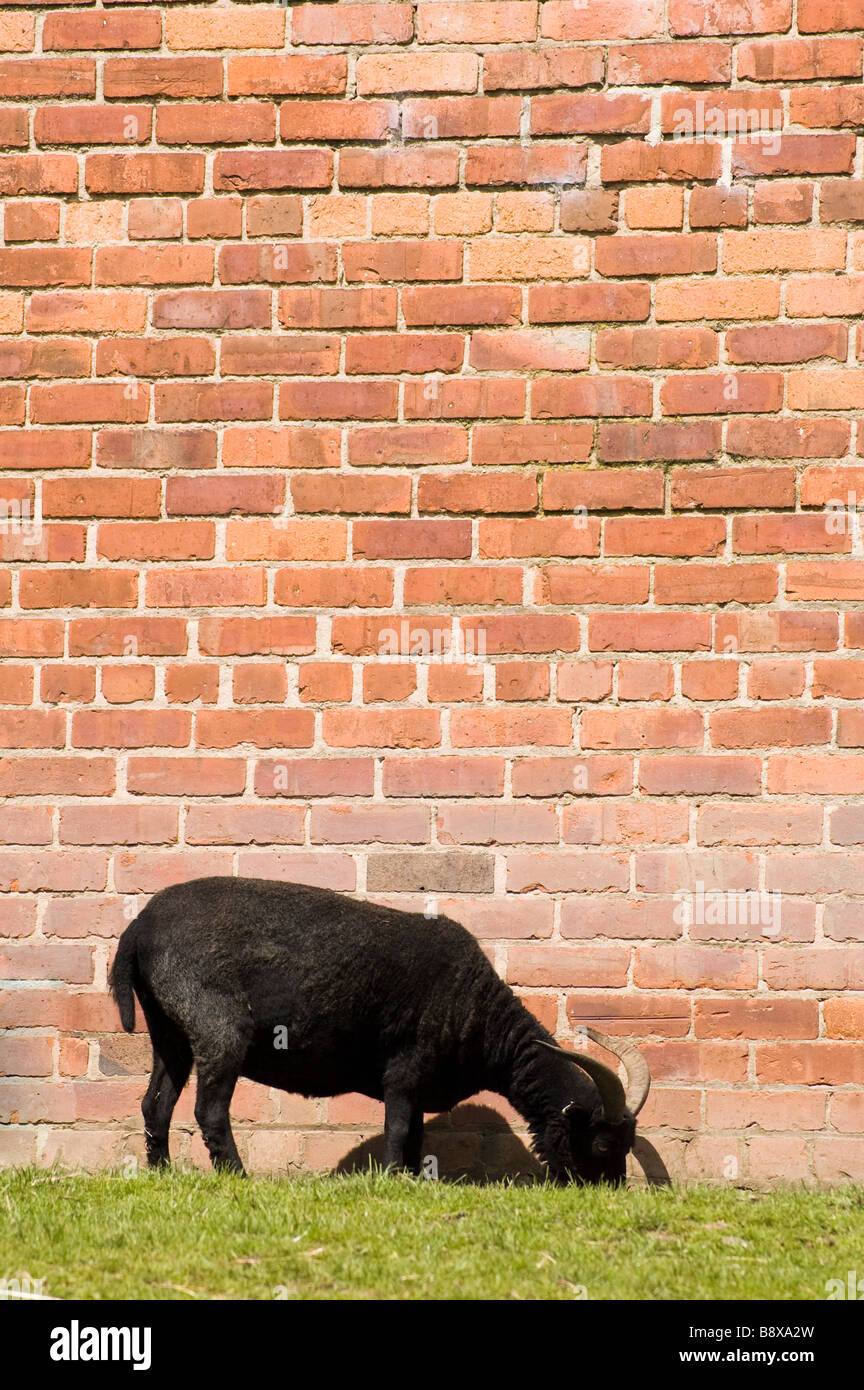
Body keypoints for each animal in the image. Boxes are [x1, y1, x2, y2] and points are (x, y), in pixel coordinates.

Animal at [109, 878, 650, 1184]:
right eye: (603, 1145)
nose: (610, 1192)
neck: (482, 1021)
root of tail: (138, 930)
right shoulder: (405, 1071)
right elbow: (398, 1128)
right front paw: (393, 1180)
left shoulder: (419, 1084)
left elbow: (415, 1135)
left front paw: (415, 1180)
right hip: (217, 1027)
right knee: (210, 1109)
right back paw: (238, 1177)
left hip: (169, 1033)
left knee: (156, 1104)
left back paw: (161, 1174)